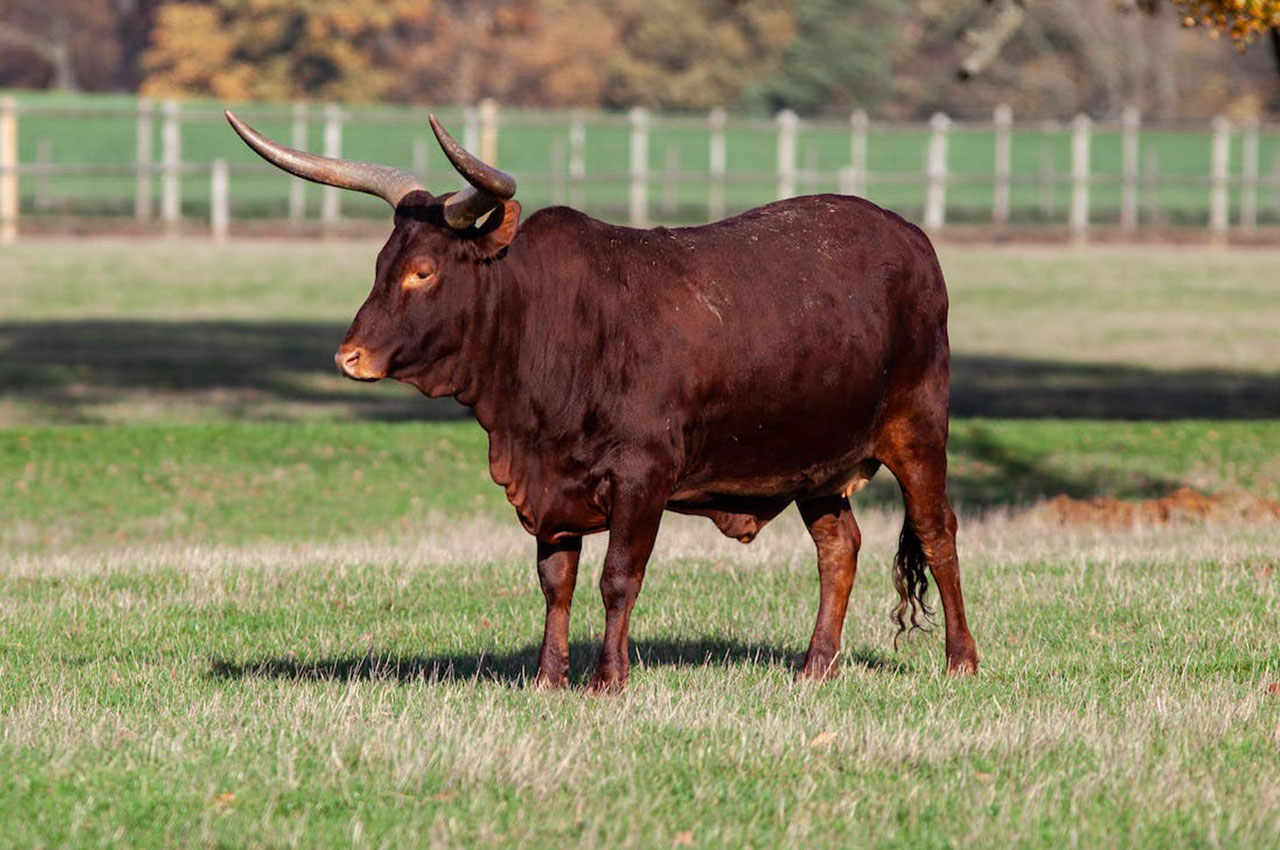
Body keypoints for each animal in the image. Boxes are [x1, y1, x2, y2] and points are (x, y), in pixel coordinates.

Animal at [225, 109, 977, 696]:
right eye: (382, 263)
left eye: (423, 272)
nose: (349, 357)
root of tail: (910, 235)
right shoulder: (549, 485)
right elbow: (555, 580)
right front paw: (546, 678)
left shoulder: (643, 477)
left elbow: (618, 576)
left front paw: (607, 680)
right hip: (815, 463)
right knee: (839, 547)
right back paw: (815, 666)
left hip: (917, 426)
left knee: (937, 532)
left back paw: (961, 660)